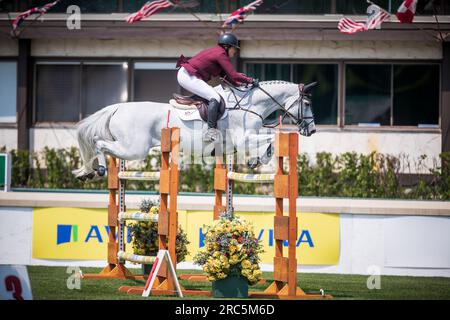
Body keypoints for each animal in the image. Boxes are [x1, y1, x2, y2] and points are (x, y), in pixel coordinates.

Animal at [72, 80, 316, 180]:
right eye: (307, 103)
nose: (312, 130)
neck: (249, 105)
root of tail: (118, 107)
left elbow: (268, 141)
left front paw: (256, 160)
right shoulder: (244, 138)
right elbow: (272, 137)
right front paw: (259, 159)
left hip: (129, 147)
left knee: (100, 144)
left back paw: (89, 172)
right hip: (134, 149)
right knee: (99, 142)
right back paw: (99, 169)